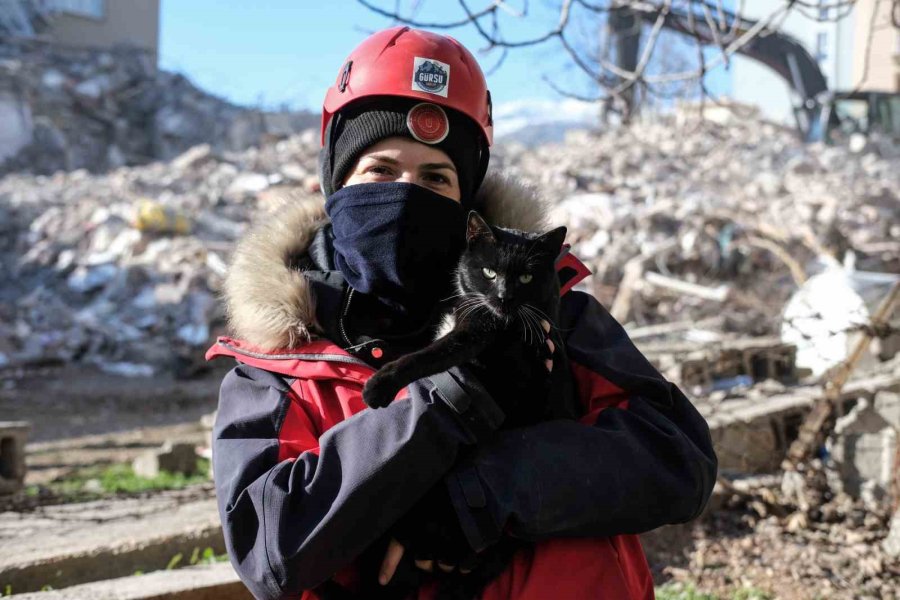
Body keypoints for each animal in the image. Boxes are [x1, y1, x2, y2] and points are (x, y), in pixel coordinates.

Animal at [316, 212, 580, 600]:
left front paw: (378, 386)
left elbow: (428, 355)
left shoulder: (477, 333)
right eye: (489, 272)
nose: (504, 297)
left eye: (526, 278)